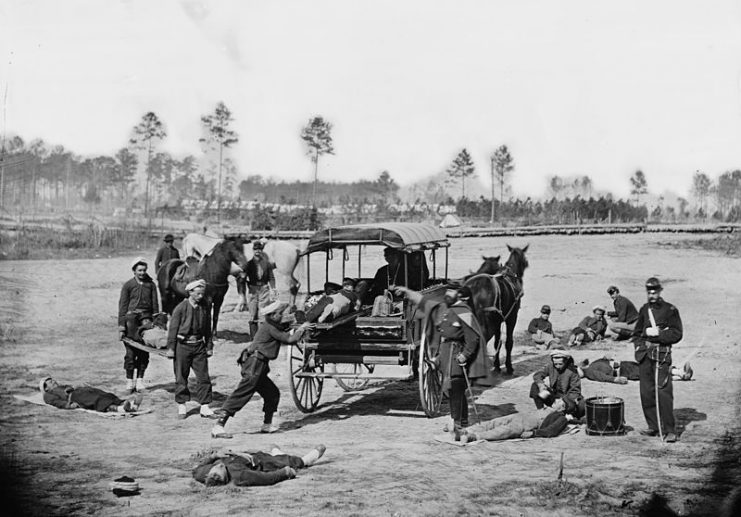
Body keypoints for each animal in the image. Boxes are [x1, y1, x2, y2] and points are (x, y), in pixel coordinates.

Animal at [462, 244, 528, 372]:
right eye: (525, 261)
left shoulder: (498, 320)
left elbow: (497, 342)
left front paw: (497, 365)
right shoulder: (512, 317)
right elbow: (508, 342)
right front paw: (509, 366)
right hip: (487, 325)